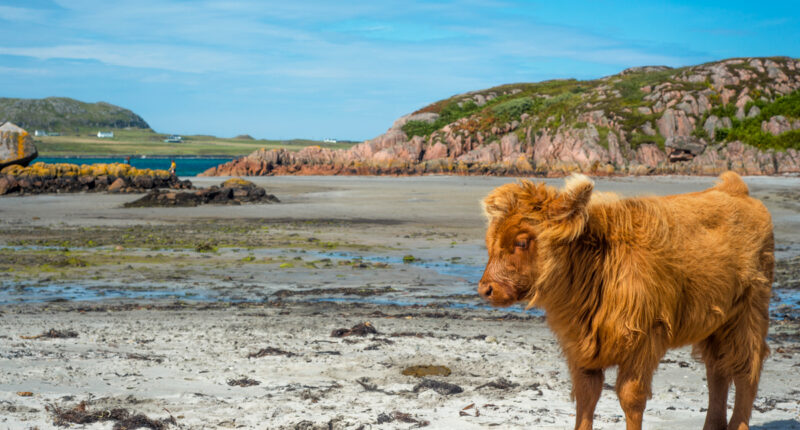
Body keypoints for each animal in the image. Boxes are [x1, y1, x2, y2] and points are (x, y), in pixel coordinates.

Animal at [478, 172, 772, 430]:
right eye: (490, 241)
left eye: (521, 242)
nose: (486, 289)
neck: (598, 264)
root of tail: (734, 189)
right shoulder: (580, 347)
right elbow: (586, 395)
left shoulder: (643, 340)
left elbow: (631, 398)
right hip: (717, 325)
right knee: (717, 370)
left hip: (748, 314)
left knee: (746, 370)